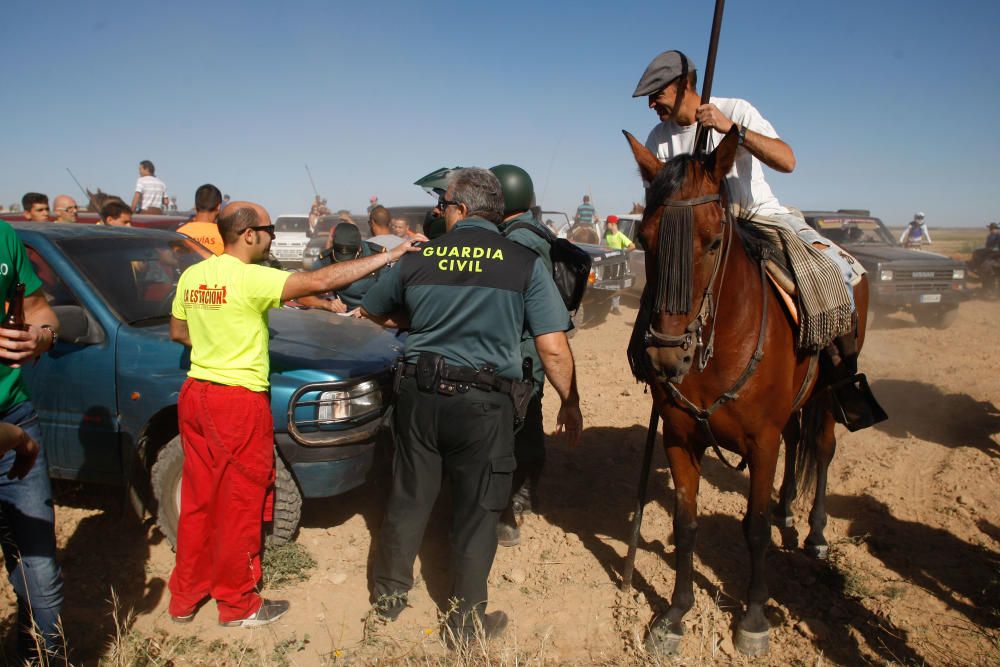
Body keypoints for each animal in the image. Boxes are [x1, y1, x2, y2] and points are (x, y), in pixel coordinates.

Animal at [624, 125, 868, 656]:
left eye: (715, 241)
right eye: (644, 239)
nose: (666, 357)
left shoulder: (761, 441)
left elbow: (754, 530)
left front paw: (754, 618)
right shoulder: (679, 438)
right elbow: (686, 525)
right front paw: (675, 614)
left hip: (825, 396)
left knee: (822, 448)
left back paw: (815, 532)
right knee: (798, 441)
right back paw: (787, 510)